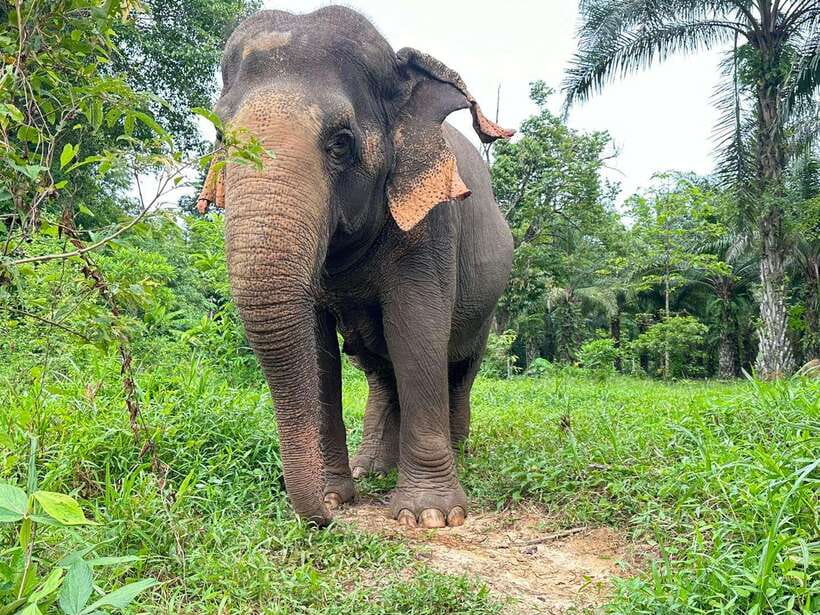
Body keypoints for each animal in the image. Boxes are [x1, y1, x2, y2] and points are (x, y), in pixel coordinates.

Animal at [196, 5, 514, 528]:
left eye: (341, 143)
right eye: (221, 137)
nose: (323, 518)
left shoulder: (433, 226)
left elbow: (416, 328)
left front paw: (431, 516)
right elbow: (319, 346)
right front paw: (336, 493)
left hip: (488, 306)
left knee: (459, 368)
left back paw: (459, 455)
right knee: (382, 373)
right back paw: (374, 468)